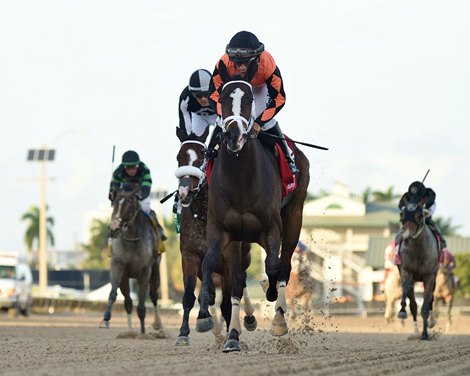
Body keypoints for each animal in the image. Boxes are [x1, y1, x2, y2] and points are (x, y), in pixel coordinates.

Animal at [98, 184, 162, 334]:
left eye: (130, 204)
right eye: (114, 203)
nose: (113, 229)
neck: (132, 240)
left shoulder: (145, 271)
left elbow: (142, 304)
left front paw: (143, 331)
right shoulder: (118, 267)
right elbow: (115, 295)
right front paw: (105, 319)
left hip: (156, 270)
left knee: (154, 295)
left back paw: (157, 325)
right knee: (128, 302)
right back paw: (129, 330)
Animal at [173, 130, 255, 346]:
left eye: (202, 157)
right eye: (179, 157)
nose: (184, 192)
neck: (204, 215)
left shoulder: (227, 262)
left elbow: (227, 302)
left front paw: (231, 335)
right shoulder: (190, 256)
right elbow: (189, 296)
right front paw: (183, 333)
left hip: (244, 258)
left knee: (241, 282)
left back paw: (248, 318)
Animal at [197, 80, 310, 352]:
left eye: (249, 100)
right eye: (222, 100)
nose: (233, 135)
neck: (241, 178)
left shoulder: (271, 228)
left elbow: (273, 265)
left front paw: (271, 294)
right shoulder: (223, 230)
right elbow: (213, 266)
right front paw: (216, 324)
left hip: (294, 215)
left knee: (284, 264)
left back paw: (278, 319)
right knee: (239, 277)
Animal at [396, 201, 440, 340]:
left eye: (420, 215)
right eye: (402, 214)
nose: (406, 236)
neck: (418, 250)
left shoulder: (429, 276)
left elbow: (426, 305)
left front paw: (425, 334)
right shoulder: (406, 271)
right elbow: (406, 290)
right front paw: (402, 311)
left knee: (431, 298)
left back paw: (431, 322)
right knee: (414, 304)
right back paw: (415, 332)